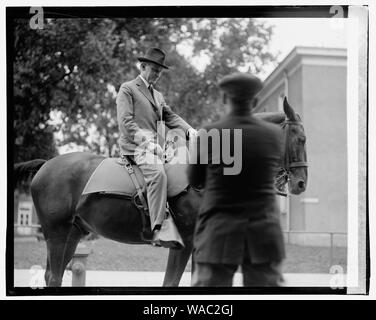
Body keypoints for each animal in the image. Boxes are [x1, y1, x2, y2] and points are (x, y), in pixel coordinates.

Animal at [13, 96, 308, 286]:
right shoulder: (185, 242)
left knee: (54, 276)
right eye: (301, 139)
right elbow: (171, 282)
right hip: (56, 234)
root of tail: (46, 164)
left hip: (72, 233)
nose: (301, 183)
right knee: (53, 277)